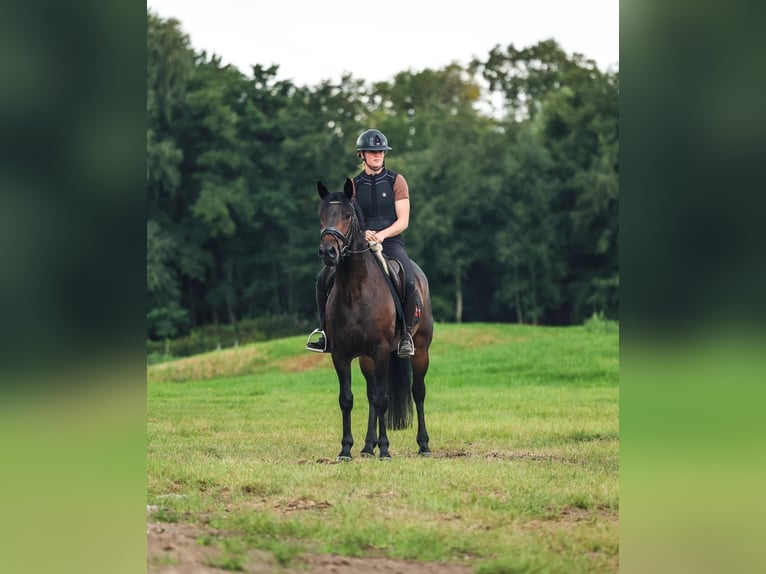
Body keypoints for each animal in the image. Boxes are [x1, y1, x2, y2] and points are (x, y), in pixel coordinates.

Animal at [316, 178, 433, 461]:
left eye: (348, 215)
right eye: (321, 216)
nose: (328, 252)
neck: (355, 289)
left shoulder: (380, 349)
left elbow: (383, 398)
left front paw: (386, 450)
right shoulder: (341, 353)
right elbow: (347, 399)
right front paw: (346, 449)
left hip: (420, 350)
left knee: (418, 392)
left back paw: (423, 445)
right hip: (367, 359)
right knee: (371, 395)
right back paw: (369, 446)